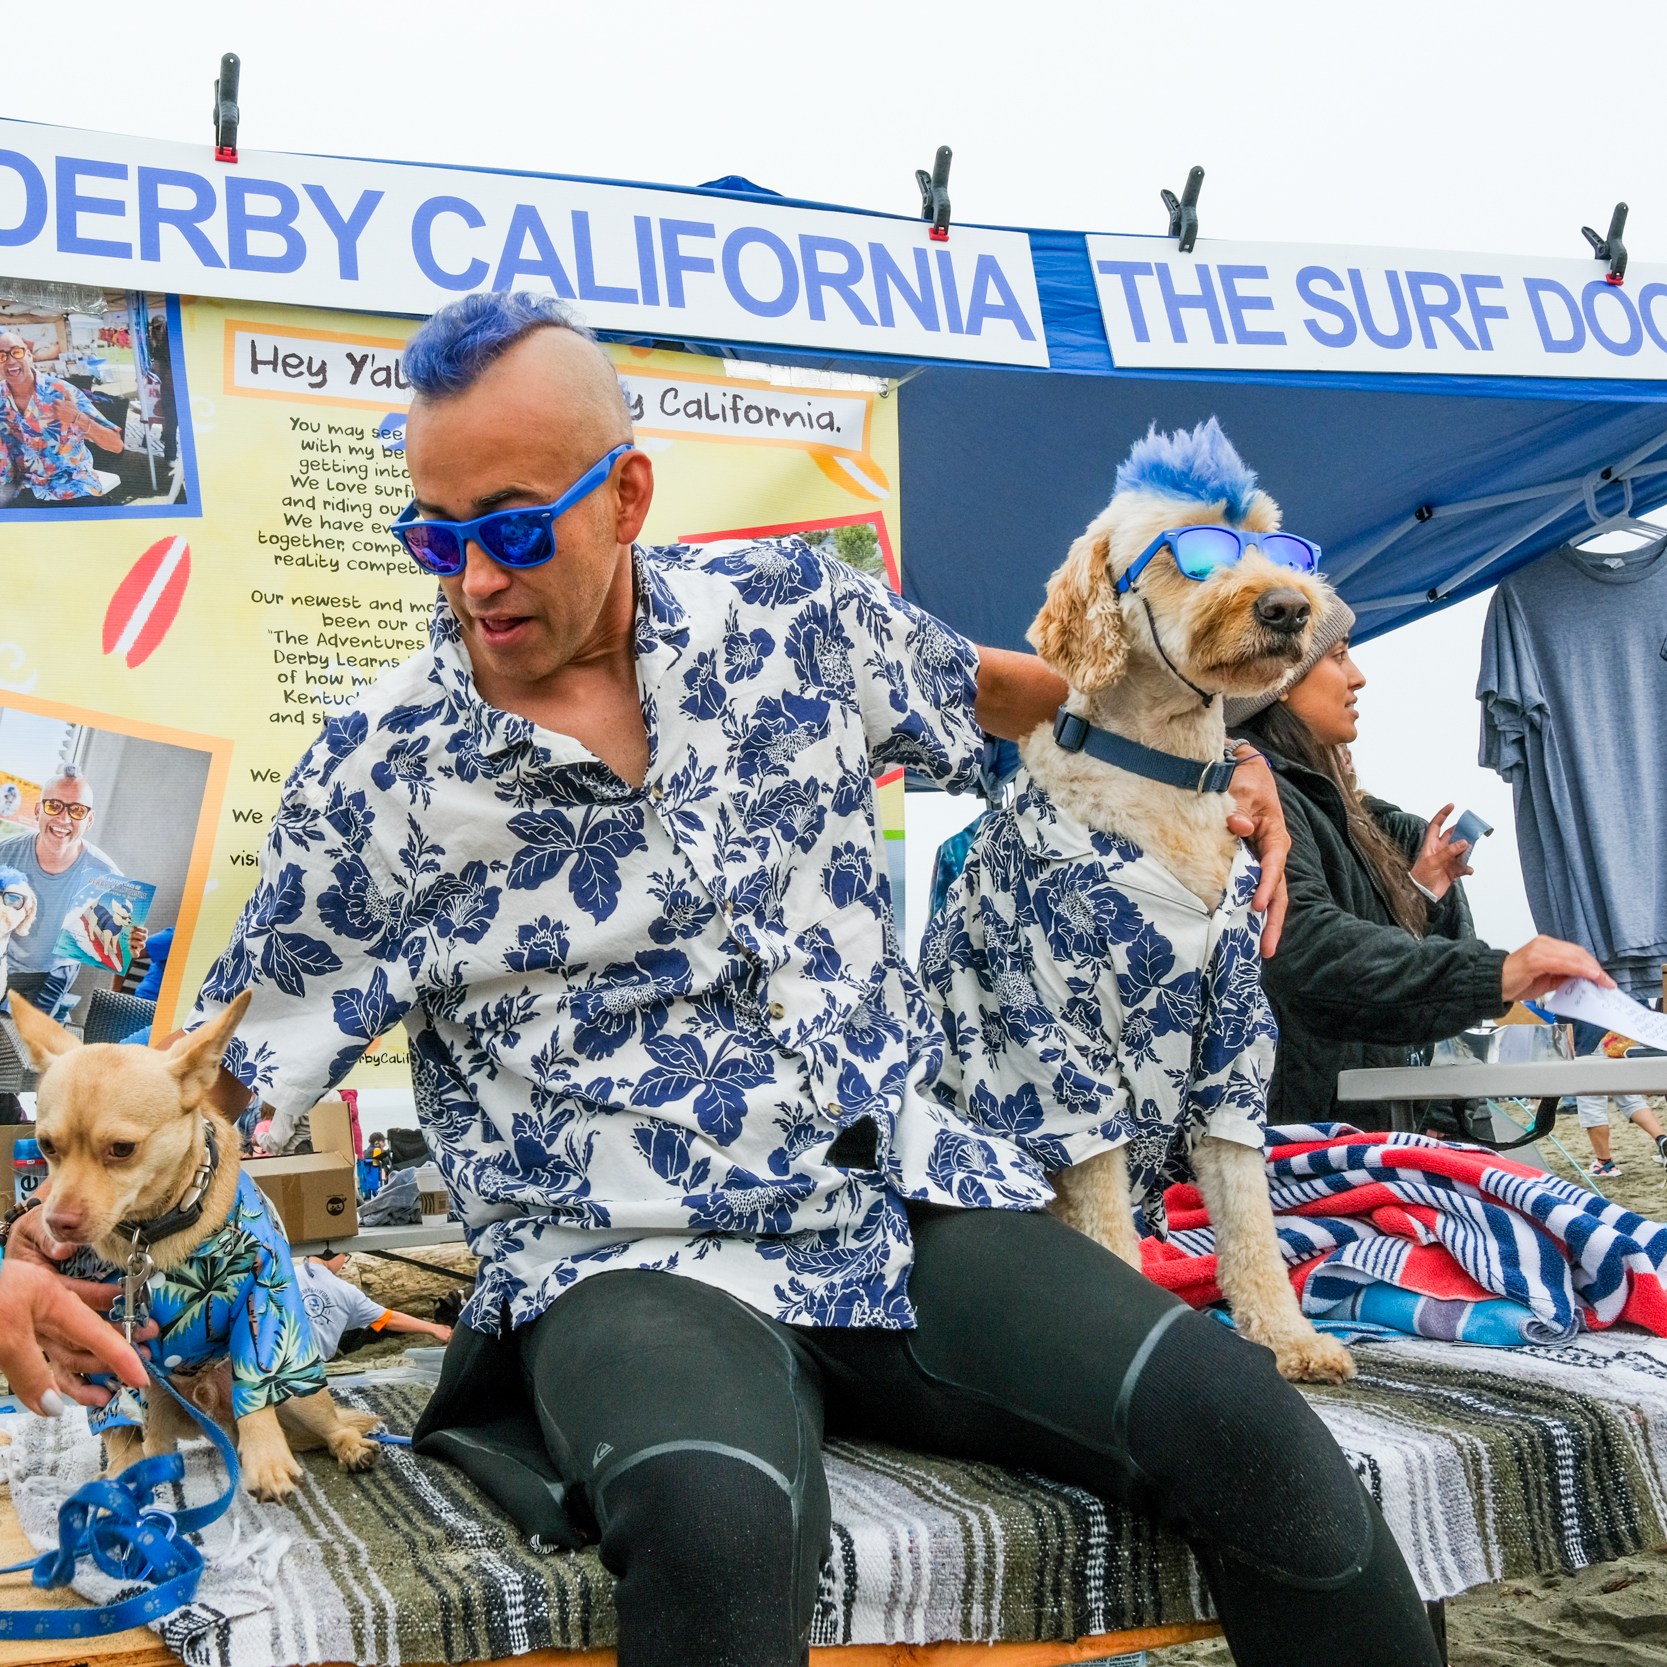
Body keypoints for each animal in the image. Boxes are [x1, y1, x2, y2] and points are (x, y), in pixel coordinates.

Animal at [8, 986, 378, 1500]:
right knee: (153, 1437)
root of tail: (218, 1418)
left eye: (122, 1149)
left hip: (303, 1392)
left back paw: (343, 1445)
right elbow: (115, 1425)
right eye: (46, 1146)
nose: (57, 1222)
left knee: (325, 1421)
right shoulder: (100, 1346)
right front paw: (118, 1479)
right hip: (160, 1400)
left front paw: (268, 1460)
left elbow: (258, 1381)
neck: (148, 1232)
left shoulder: (264, 1300)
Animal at [926, 416, 1353, 1380]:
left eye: (1272, 544)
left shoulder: (1234, 1037)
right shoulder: (1053, 1038)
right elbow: (1104, 1206)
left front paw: (1288, 1336)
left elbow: (1249, 1213)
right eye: (1191, 554)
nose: (1287, 606)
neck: (1166, 771)